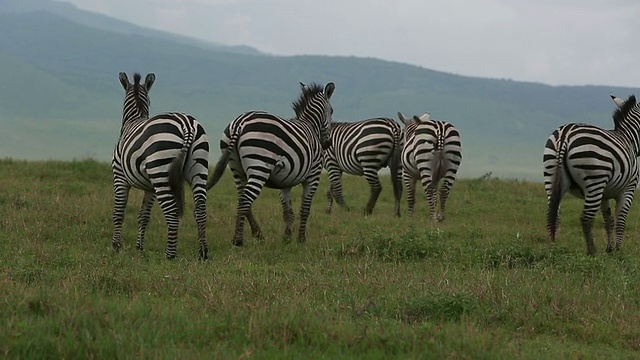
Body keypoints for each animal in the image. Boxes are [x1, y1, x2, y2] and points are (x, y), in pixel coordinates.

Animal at [111, 72, 209, 258]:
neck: (134, 119)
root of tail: (187, 125)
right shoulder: (150, 187)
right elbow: (144, 215)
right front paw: (139, 247)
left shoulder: (119, 176)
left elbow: (119, 212)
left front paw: (116, 246)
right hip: (199, 168)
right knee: (200, 209)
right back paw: (203, 253)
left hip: (161, 172)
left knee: (172, 212)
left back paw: (170, 255)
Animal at [206, 81, 338, 246]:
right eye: (331, 111)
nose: (327, 144)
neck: (311, 125)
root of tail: (239, 123)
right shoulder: (313, 175)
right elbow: (305, 209)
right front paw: (301, 239)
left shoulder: (286, 180)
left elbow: (288, 212)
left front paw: (287, 238)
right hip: (259, 166)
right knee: (245, 200)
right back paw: (238, 240)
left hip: (236, 168)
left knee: (243, 200)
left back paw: (258, 234)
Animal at [544, 94, 640, 255]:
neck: (630, 138)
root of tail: (565, 136)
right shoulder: (628, 189)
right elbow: (621, 220)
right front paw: (619, 250)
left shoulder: (605, 194)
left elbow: (609, 220)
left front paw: (610, 249)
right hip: (594, 181)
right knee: (586, 218)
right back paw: (592, 252)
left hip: (550, 176)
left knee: (553, 214)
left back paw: (554, 247)